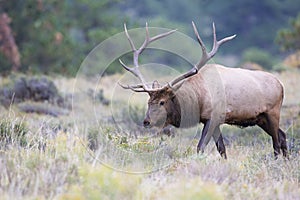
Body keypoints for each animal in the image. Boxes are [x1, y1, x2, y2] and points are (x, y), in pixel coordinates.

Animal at [118, 21, 288, 159]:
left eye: (162, 102)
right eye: (148, 102)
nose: (146, 121)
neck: (198, 99)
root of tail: (281, 85)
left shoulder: (213, 117)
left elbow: (200, 147)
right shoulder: (212, 120)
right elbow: (222, 148)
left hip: (273, 112)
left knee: (276, 142)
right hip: (261, 118)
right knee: (282, 135)